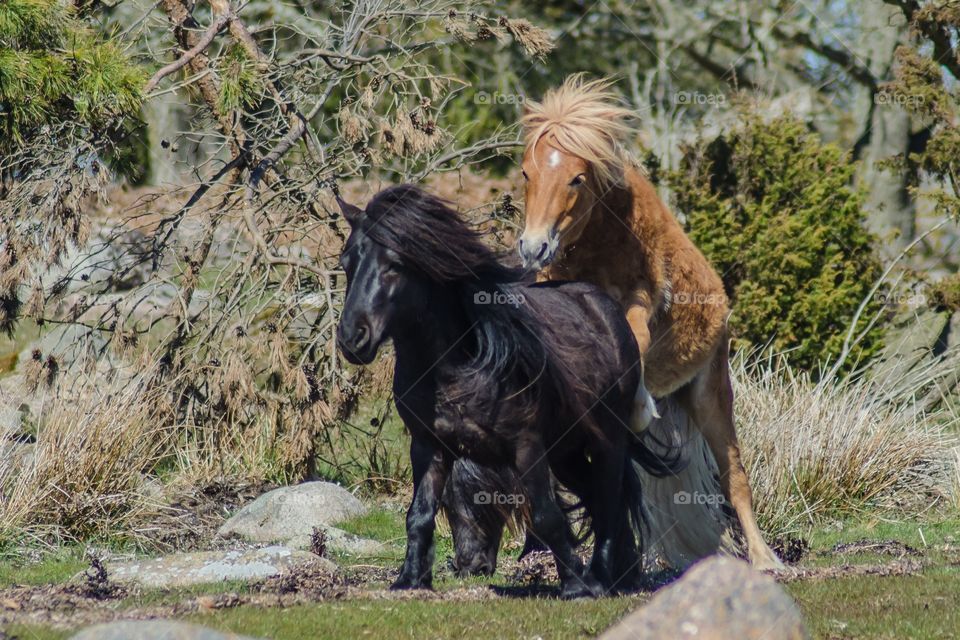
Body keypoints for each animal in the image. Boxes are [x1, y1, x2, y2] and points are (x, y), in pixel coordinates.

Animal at [334, 184, 684, 596]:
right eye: (346, 262)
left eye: (395, 265)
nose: (352, 339)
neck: (457, 371)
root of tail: (602, 306)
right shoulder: (428, 446)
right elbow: (417, 514)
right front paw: (409, 581)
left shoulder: (526, 447)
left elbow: (548, 515)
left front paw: (576, 588)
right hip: (565, 453)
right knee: (596, 498)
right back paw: (619, 575)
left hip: (607, 441)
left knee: (608, 501)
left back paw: (599, 579)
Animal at [515, 75, 783, 570]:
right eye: (527, 172)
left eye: (577, 178)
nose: (534, 247)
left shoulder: (641, 303)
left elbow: (634, 338)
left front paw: (637, 406)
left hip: (711, 396)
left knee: (734, 477)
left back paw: (764, 559)